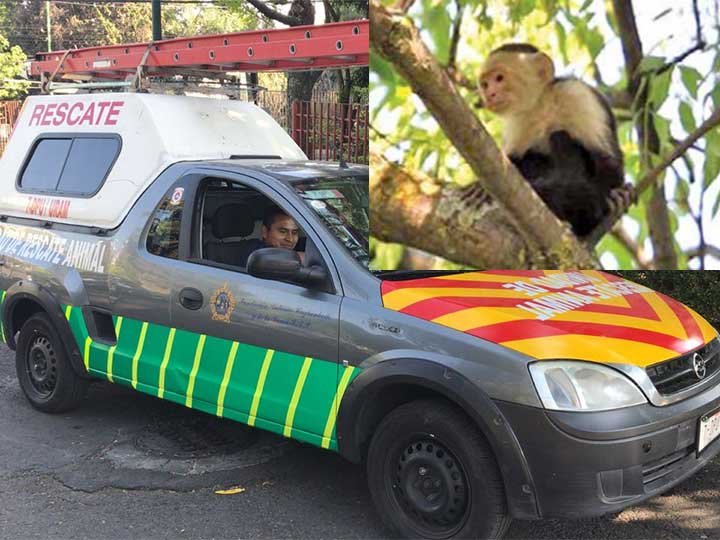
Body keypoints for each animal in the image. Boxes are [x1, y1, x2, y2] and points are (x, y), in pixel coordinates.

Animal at [478, 43, 633, 238]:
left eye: (499, 78)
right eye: (484, 84)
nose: (489, 94)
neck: (542, 105)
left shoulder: (575, 95)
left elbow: (607, 161)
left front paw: (611, 196)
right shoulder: (518, 124)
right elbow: (512, 162)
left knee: (561, 138)